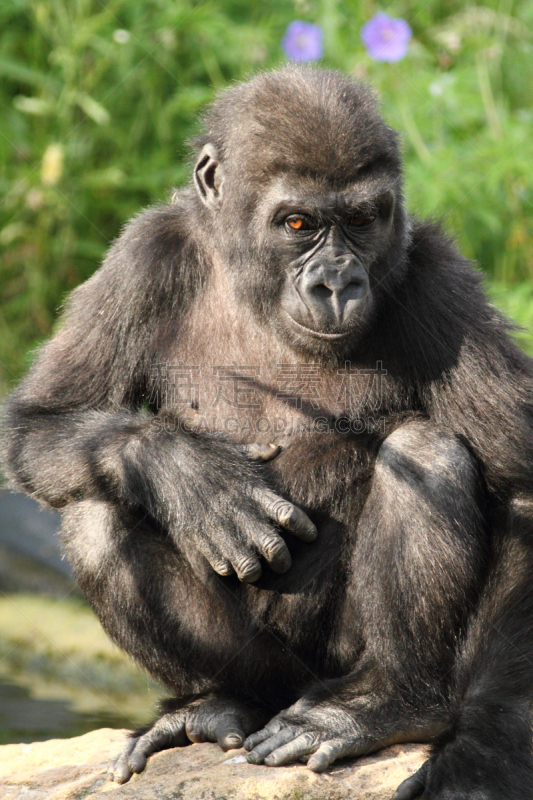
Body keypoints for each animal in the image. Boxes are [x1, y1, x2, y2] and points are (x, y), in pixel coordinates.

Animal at [3, 69, 532, 800]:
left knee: (425, 455)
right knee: (96, 514)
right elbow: (44, 421)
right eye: (298, 223)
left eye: (362, 220)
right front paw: (185, 472)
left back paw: (386, 703)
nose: (336, 282)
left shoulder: (440, 280)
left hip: (331, 669)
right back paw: (213, 702)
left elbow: (520, 490)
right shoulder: (142, 257)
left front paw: (475, 761)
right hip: (266, 671)